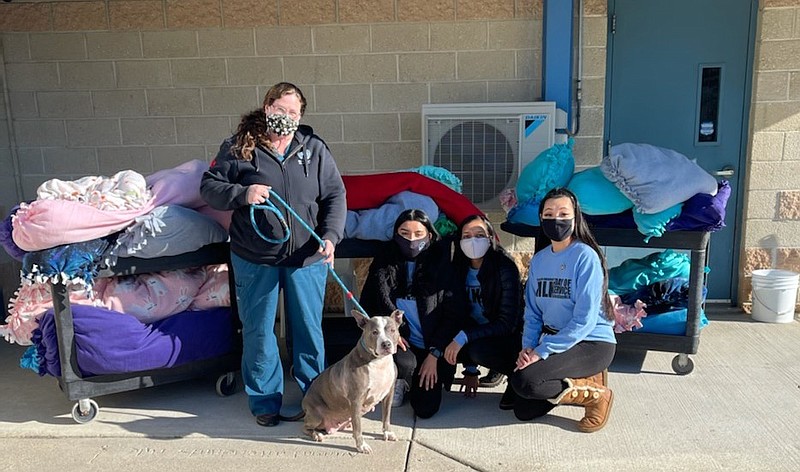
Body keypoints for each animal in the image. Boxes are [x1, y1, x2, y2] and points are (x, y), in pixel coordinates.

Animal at [300, 310, 404, 454]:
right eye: (374, 332)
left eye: (393, 330)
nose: (386, 344)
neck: (378, 362)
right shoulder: (356, 399)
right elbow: (358, 427)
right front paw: (362, 445)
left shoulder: (389, 393)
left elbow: (386, 417)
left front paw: (387, 433)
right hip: (316, 415)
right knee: (305, 427)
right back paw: (316, 434)